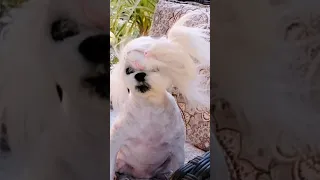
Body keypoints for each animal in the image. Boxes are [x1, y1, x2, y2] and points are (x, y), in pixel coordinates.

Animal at [109, 11, 210, 179]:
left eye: (156, 68)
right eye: (128, 70)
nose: (140, 74)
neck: (148, 108)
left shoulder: (177, 150)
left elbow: (177, 169)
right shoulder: (116, 140)